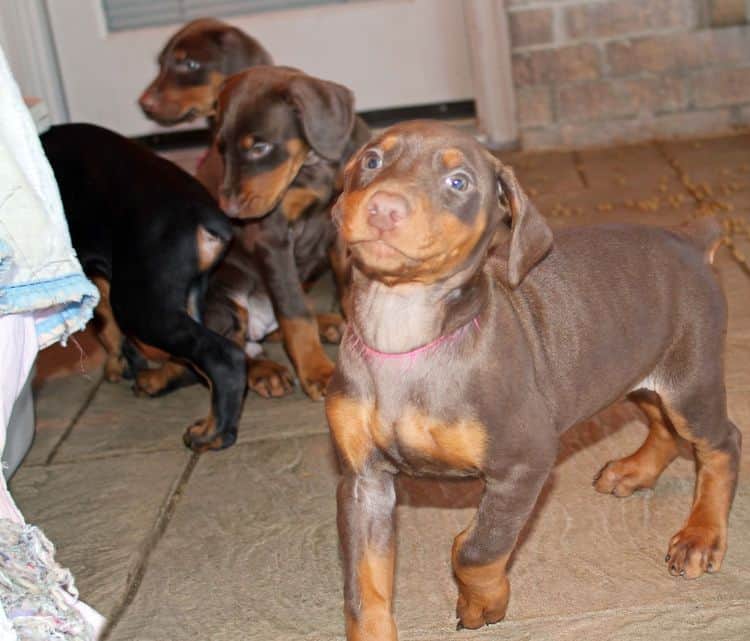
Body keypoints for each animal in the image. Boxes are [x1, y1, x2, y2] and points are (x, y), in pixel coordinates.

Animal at [41, 121, 247, 450]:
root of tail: (206, 215)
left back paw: (213, 433)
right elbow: (104, 320)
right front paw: (121, 363)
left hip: (140, 304)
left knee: (224, 357)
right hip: (180, 293)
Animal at [326, 119, 744, 636]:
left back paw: (701, 535)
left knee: (722, 442)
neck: (404, 335)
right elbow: (363, 588)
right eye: (372, 161)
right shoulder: (363, 480)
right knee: (663, 425)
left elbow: (477, 547)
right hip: (631, 369)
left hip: (690, 379)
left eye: (458, 182)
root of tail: (687, 239)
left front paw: (482, 602)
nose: (384, 208)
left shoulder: (525, 461)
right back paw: (634, 470)